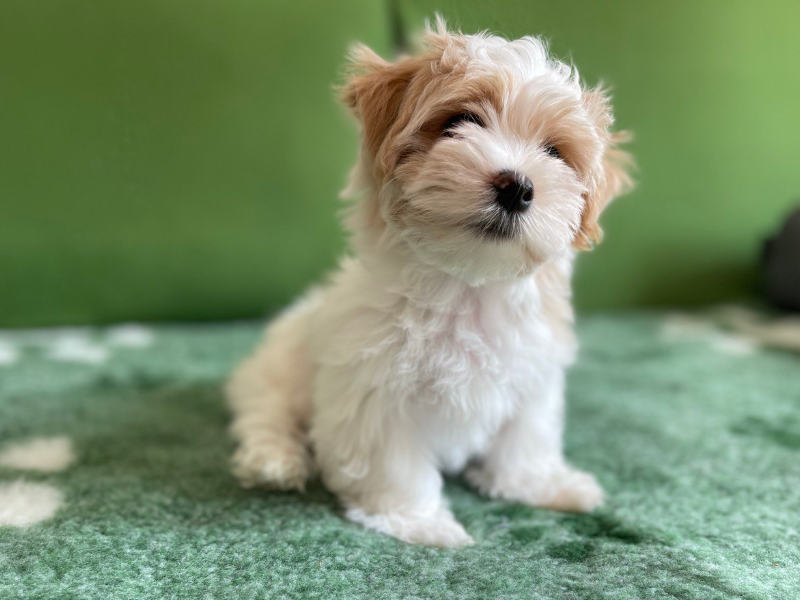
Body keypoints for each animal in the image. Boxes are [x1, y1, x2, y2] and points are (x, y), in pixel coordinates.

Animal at [228, 21, 636, 548]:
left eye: (554, 152)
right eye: (459, 121)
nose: (517, 186)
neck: (467, 284)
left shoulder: (532, 373)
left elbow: (525, 438)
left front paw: (540, 485)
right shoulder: (375, 387)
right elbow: (393, 461)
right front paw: (418, 521)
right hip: (276, 369)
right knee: (266, 412)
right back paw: (275, 461)